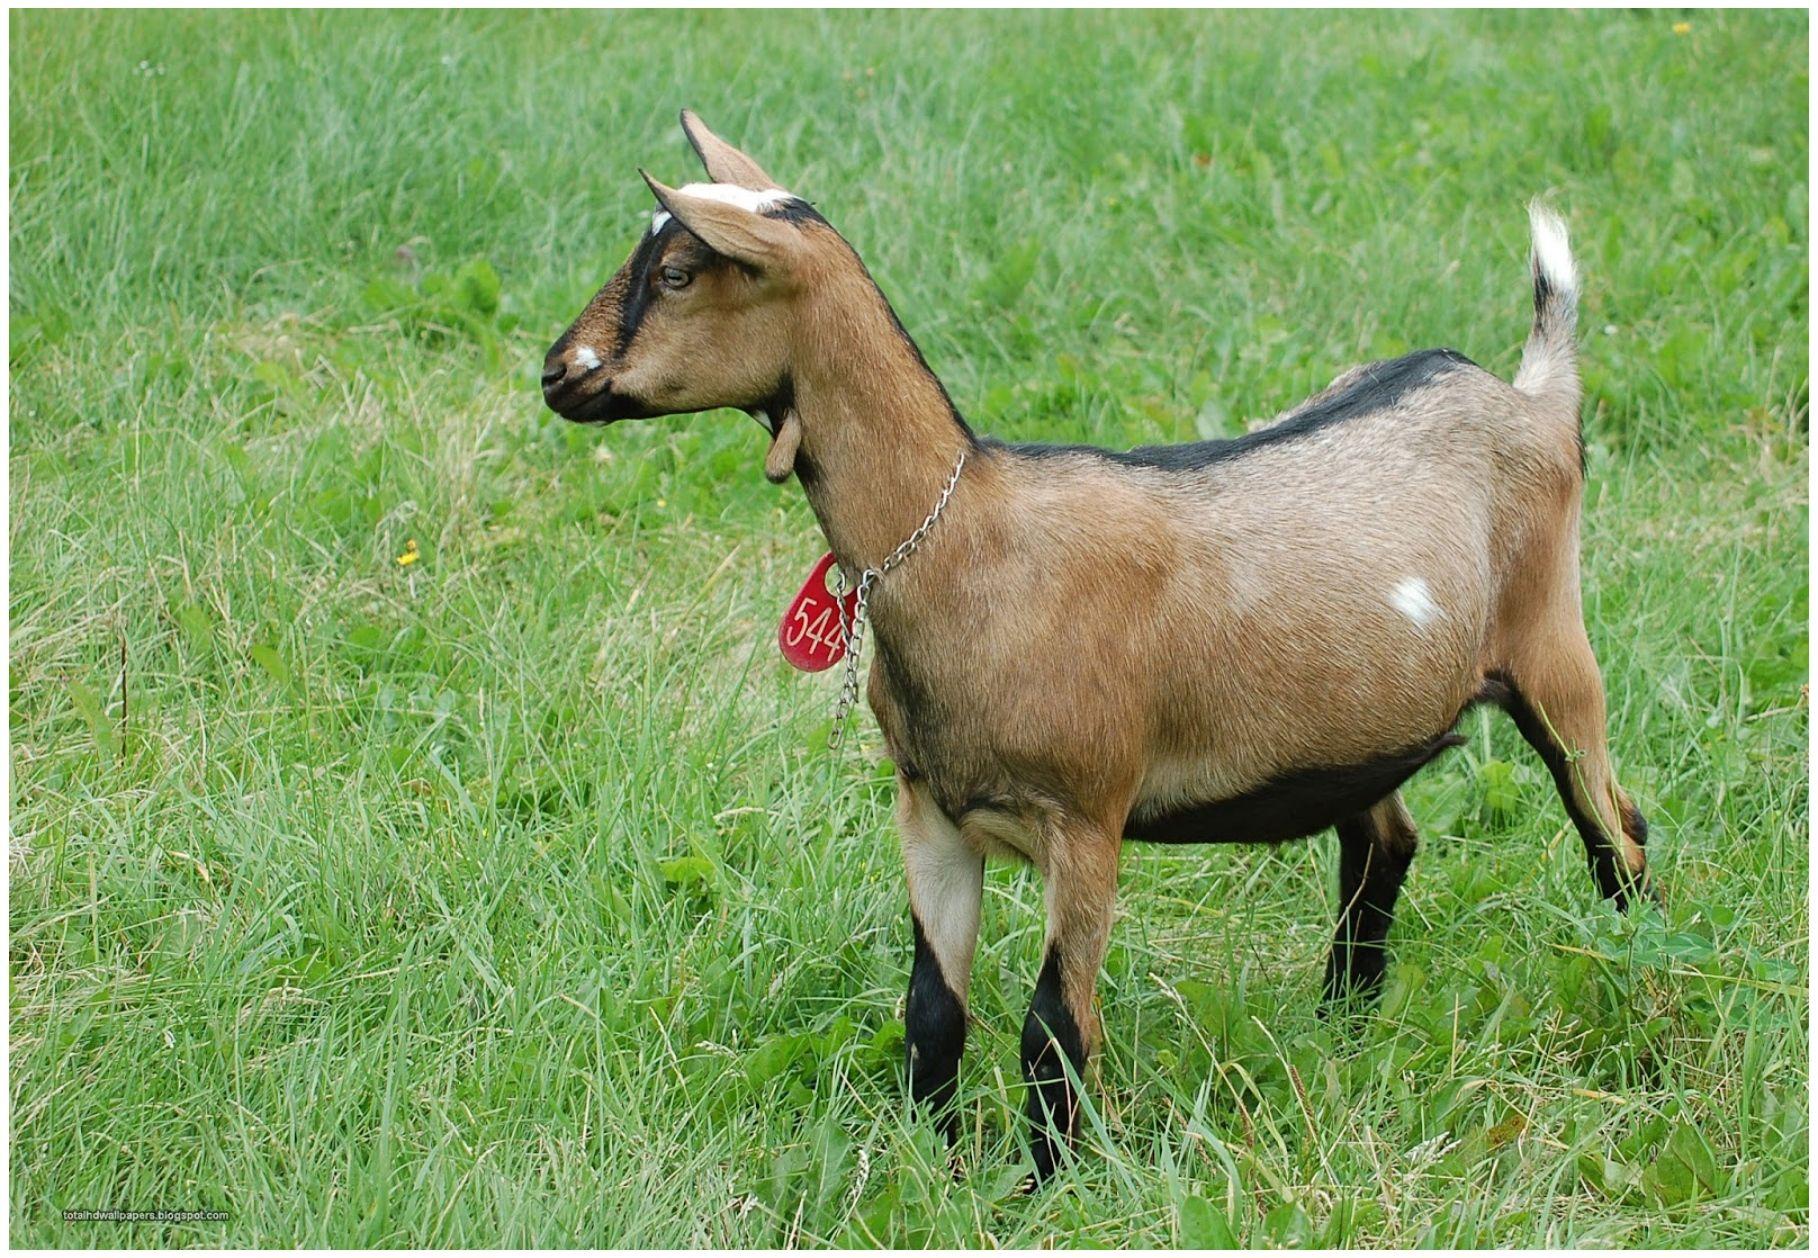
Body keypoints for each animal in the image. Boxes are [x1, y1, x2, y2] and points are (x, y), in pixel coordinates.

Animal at [541, 111, 1656, 1183]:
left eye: (678, 273)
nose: (557, 373)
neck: (970, 537)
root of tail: (1530, 397)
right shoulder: (931, 809)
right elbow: (931, 1011)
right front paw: (934, 1163)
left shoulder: (1085, 816)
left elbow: (1053, 1027)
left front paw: (1051, 1186)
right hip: (1359, 724)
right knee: (1384, 842)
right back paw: (1340, 1029)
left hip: (1555, 648)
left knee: (1618, 829)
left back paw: (1645, 993)